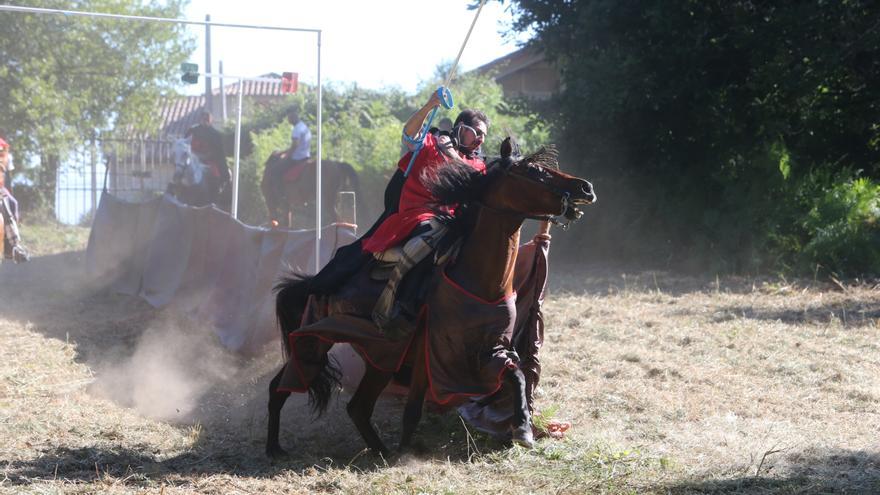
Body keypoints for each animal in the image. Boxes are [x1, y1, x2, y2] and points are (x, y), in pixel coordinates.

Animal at [264, 139, 596, 458]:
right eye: (533, 171)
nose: (586, 188)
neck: (479, 278)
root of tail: (316, 280)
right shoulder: (429, 357)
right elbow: (412, 410)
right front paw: (406, 453)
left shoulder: (490, 350)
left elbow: (517, 376)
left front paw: (524, 430)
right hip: (317, 340)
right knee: (282, 385)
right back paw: (274, 448)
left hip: (381, 356)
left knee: (357, 407)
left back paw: (379, 451)